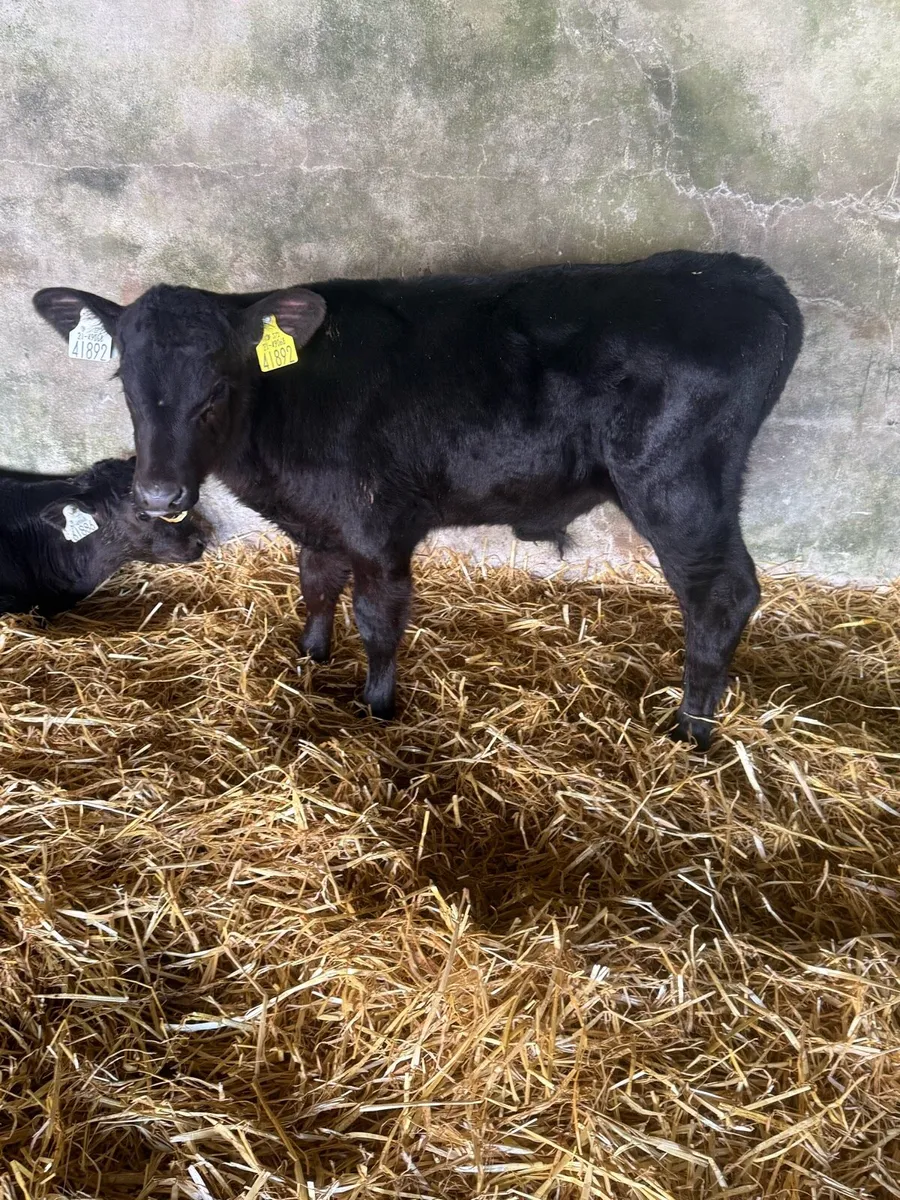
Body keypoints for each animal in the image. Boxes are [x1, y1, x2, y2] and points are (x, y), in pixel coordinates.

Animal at [34, 250, 803, 747]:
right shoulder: (319, 522)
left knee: (723, 593)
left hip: (676, 486)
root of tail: (744, 273)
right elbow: (316, 585)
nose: (159, 491)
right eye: (125, 382)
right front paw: (310, 660)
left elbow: (378, 619)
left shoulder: (378, 525)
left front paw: (376, 708)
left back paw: (692, 729)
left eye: (219, 385)